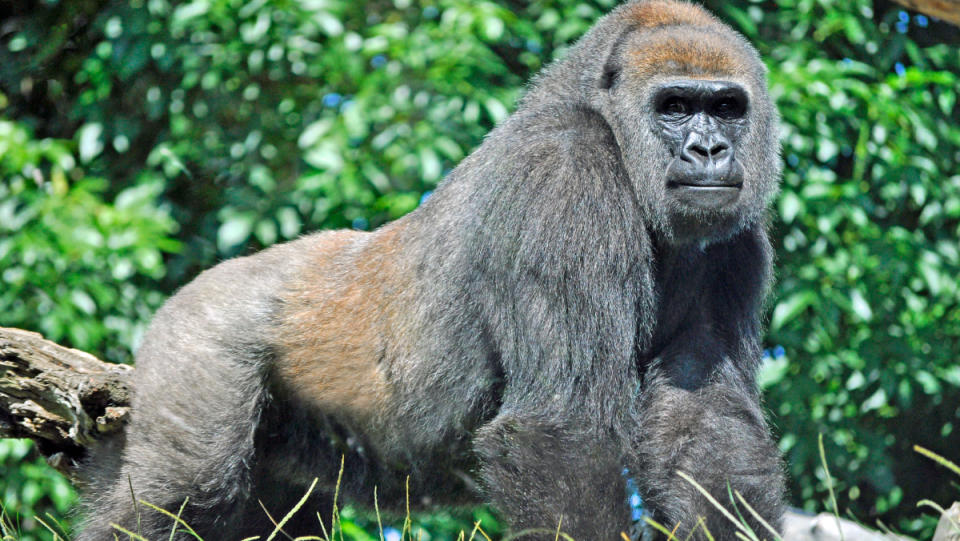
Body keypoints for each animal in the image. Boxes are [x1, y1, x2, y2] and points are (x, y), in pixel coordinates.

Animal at [79, 2, 788, 536]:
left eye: (727, 109)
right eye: (674, 106)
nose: (708, 149)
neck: (602, 118)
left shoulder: (735, 240)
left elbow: (705, 430)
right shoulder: (562, 172)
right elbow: (563, 431)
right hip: (197, 337)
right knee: (185, 490)